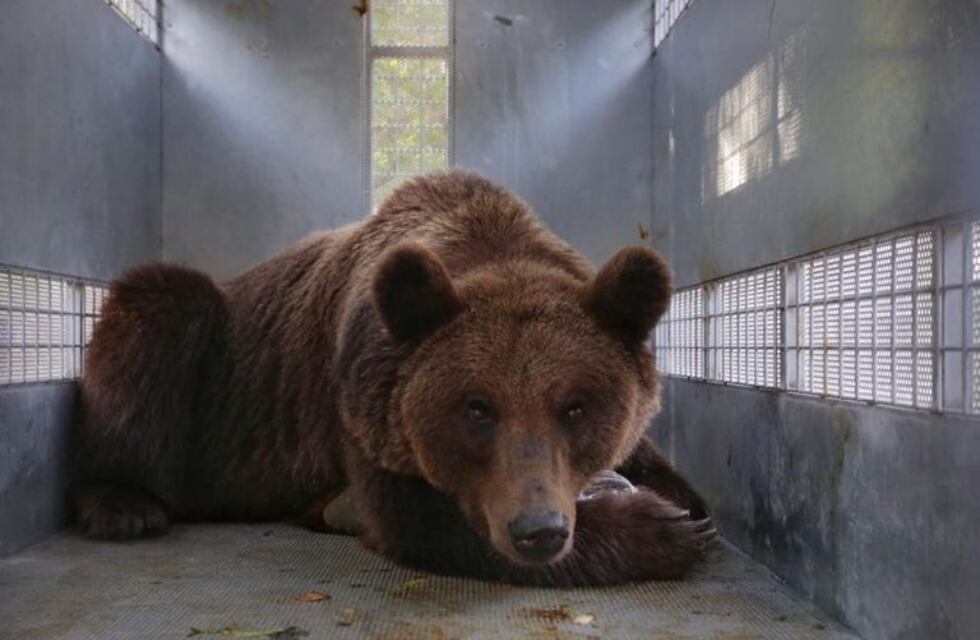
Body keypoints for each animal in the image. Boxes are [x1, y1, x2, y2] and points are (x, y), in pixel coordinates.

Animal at [72, 170, 713, 586]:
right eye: (476, 406)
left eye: (576, 405)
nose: (539, 530)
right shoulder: (361, 401)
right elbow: (423, 521)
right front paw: (662, 530)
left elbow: (659, 467)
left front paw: (681, 509)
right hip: (217, 372)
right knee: (159, 313)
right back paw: (124, 504)